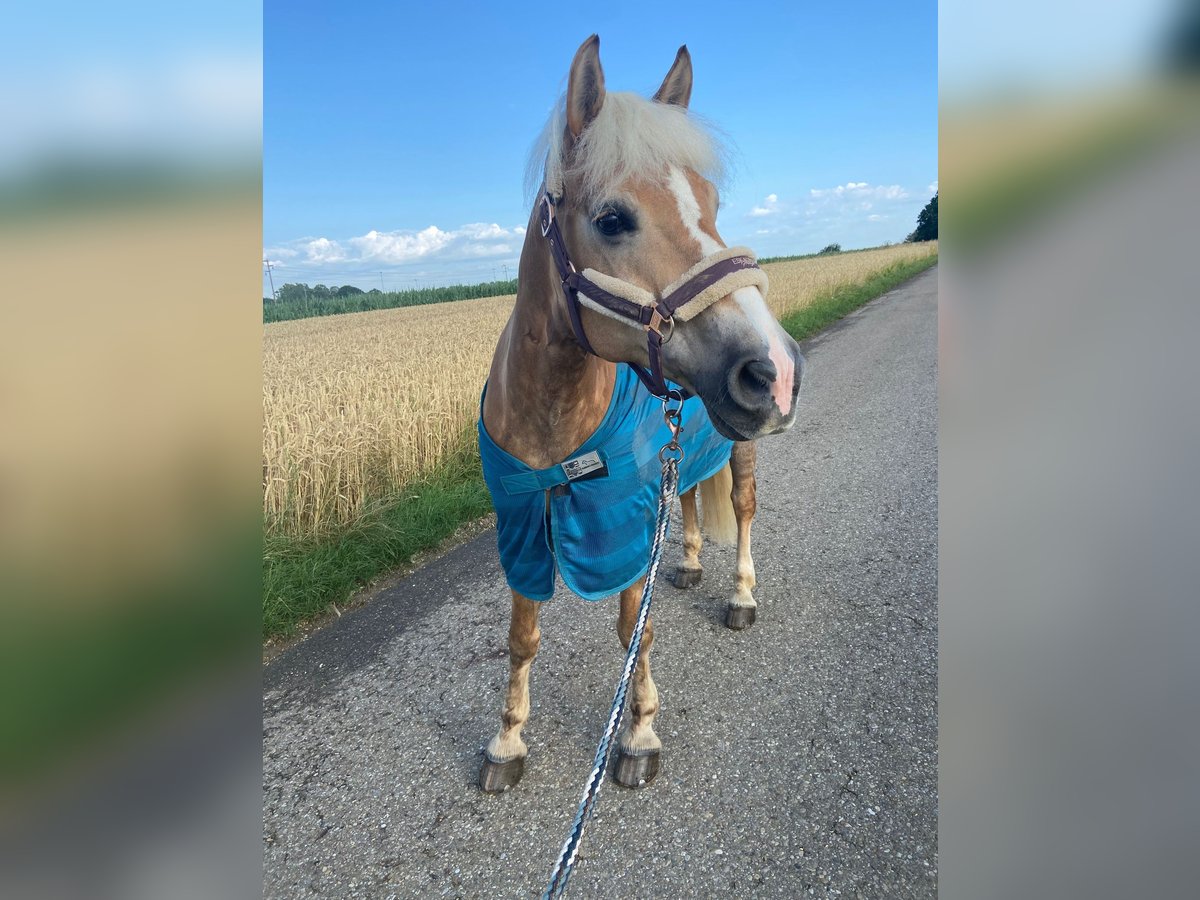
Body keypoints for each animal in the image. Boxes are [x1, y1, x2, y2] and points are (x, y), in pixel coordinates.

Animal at [472, 37, 801, 796]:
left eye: (711, 203)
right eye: (613, 219)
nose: (774, 367)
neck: (553, 421)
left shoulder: (619, 518)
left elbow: (634, 632)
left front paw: (640, 732)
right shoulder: (521, 527)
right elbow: (521, 637)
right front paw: (507, 741)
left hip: (742, 447)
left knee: (742, 508)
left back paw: (740, 595)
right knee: (690, 504)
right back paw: (688, 564)